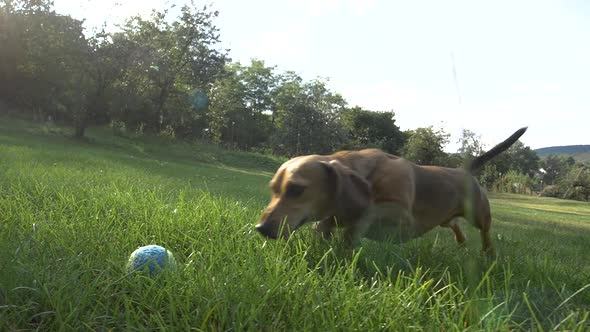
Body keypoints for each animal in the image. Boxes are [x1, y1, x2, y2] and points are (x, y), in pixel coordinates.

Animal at [256, 127, 528, 254]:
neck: (369, 176)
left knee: (485, 232)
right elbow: (326, 224)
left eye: (296, 189)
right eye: (273, 189)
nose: (261, 228)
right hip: (445, 218)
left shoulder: (398, 215)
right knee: (454, 225)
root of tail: (463, 170)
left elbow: (362, 218)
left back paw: (488, 253)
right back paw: (461, 244)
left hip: (479, 215)